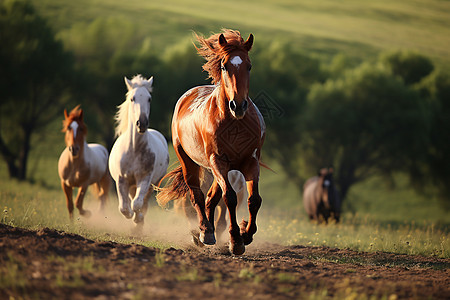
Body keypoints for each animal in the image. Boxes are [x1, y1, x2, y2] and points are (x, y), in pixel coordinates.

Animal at [108, 76, 169, 229]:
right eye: (132, 98)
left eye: (149, 99)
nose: (141, 124)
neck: (134, 149)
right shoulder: (121, 179)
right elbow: (124, 207)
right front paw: (130, 215)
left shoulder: (145, 178)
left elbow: (137, 203)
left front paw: (137, 219)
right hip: (131, 183)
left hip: (152, 183)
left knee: (143, 201)